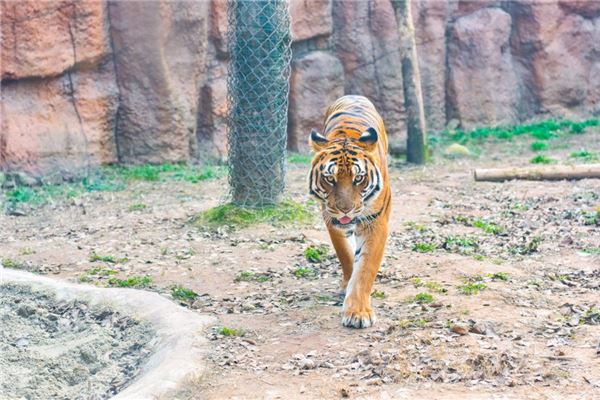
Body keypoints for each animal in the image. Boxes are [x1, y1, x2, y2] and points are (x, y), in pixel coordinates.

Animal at [308, 94, 392, 328]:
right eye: (330, 178)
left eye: (359, 178)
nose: (345, 210)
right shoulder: (331, 219)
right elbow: (345, 255)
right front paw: (347, 285)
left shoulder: (375, 222)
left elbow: (365, 269)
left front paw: (358, 313)